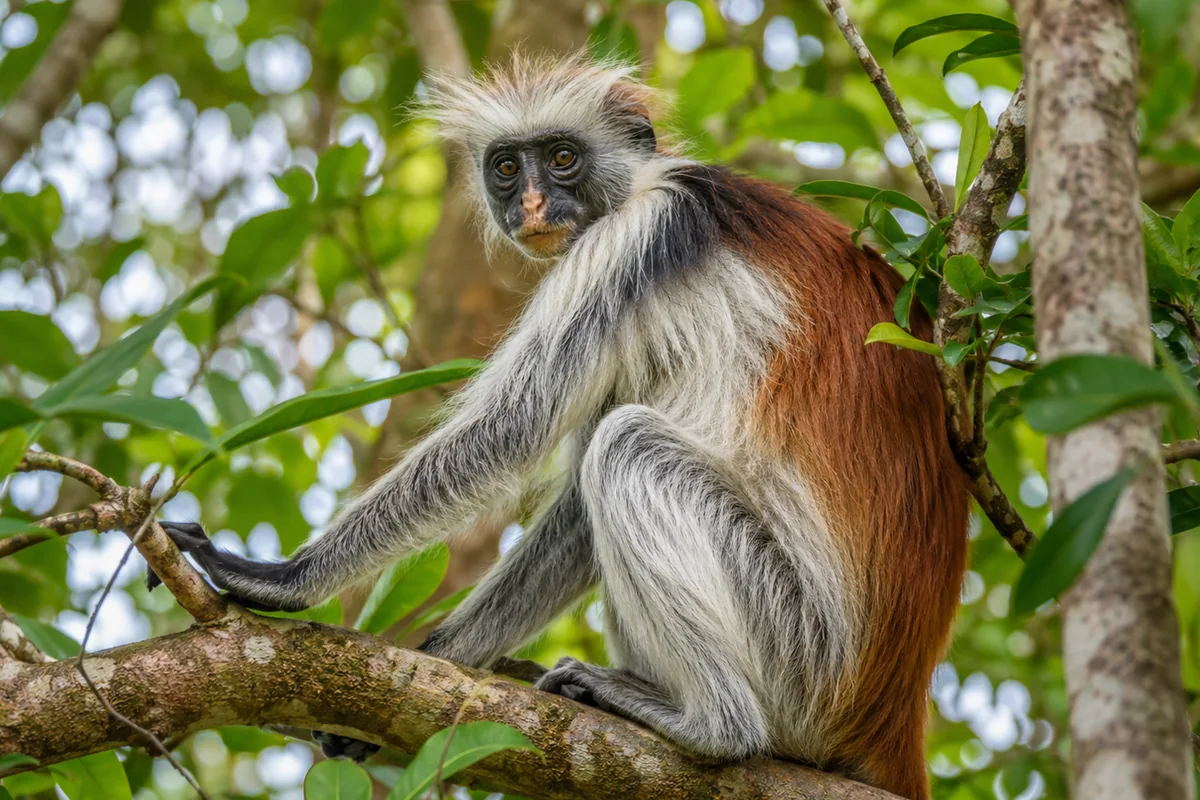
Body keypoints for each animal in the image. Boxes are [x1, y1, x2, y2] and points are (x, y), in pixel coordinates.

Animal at [160, 57, 969, 799]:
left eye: (562, 158)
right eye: (506, 167)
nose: (533, 202)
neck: (641, 185)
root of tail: (890, 713)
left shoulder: (637, 239)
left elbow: (510, 431)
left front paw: (279, 581)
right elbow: (574, 509)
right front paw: (441, 657)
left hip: (798, 648)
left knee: (628, 446)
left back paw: (713, 727)